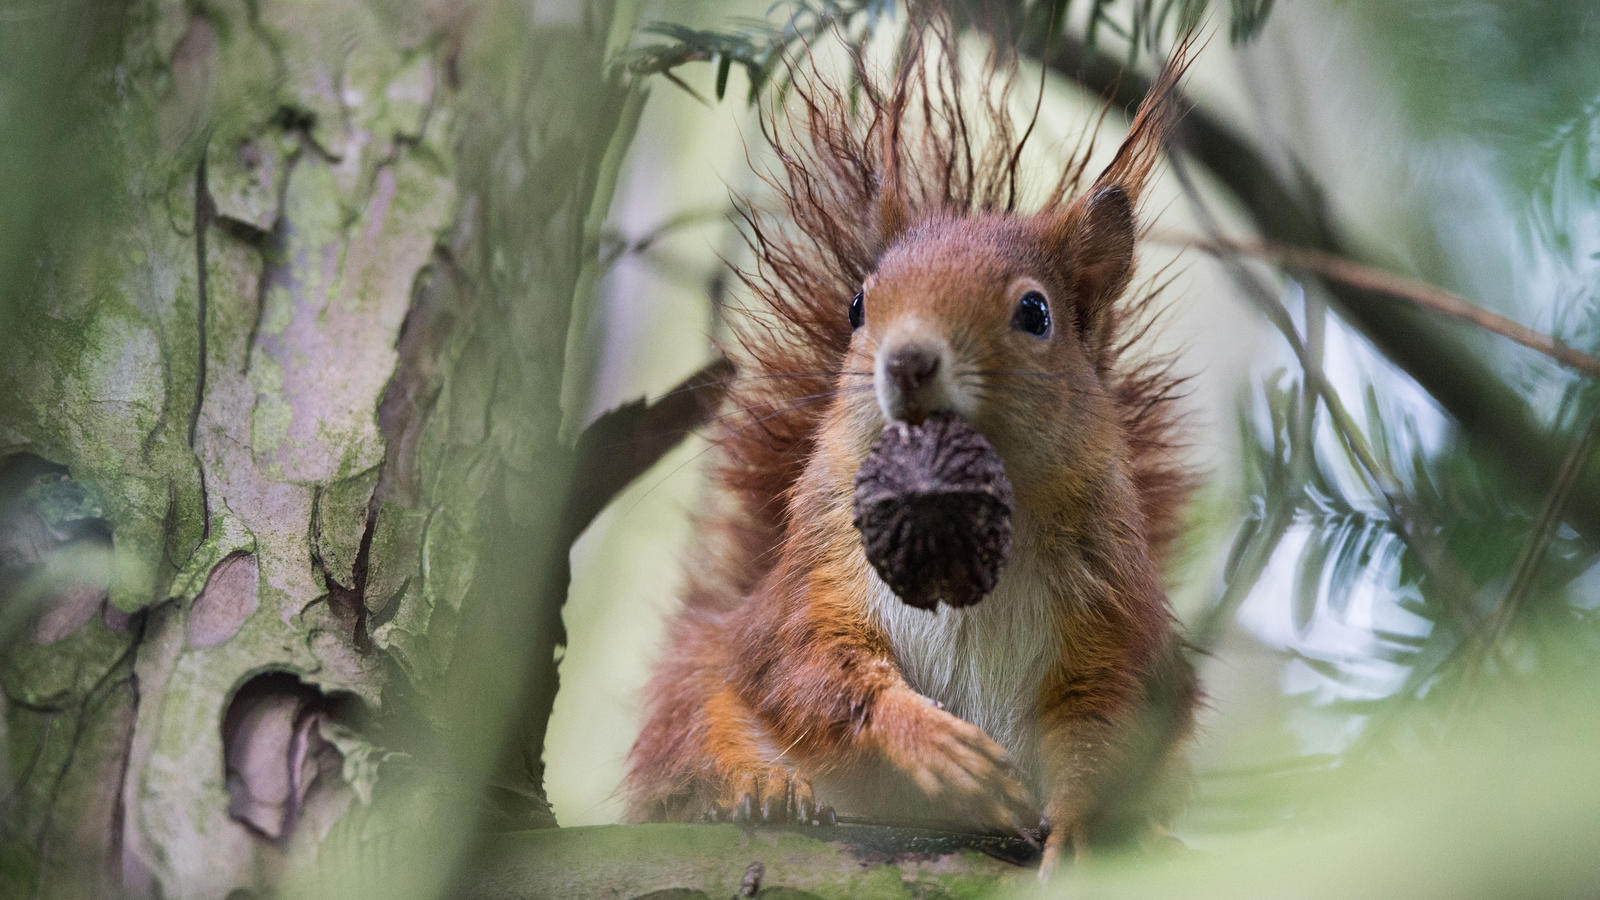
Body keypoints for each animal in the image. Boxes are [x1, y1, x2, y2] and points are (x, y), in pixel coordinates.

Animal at [624, 3, 1203, 864]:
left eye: (1036, 313)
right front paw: (934, 747)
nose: (908, 360)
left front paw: (1084, 825)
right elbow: (809, 668)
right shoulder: (818, 576)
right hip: (700, 675)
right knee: (696, 728)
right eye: (858, 305)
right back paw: (754, 786)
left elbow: (1103, 717)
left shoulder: (1113, 609)